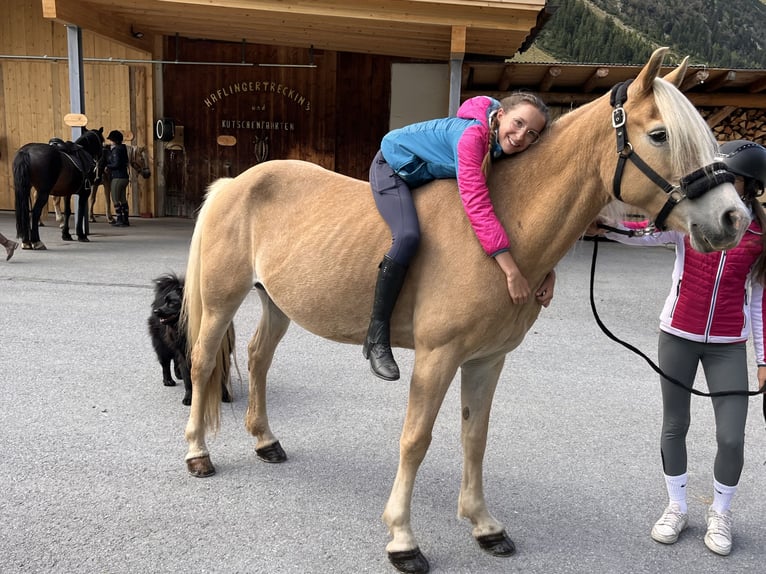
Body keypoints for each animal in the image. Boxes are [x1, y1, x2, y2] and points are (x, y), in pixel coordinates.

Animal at [149, 274, 234, 404]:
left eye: (172, 303)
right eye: (165, 302)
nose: (156, 311)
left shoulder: (221, 355)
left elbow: (222, 377)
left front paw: (224, 394)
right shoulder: (186, 356)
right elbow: (188, 380)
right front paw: (189, 397)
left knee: (175, 359)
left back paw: (178, 374)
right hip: (163, 345)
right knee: (165, 363)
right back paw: (168, 380)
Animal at [182, 50, 752, 574]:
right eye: (659, 135)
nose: (735, 218)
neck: (501, 230)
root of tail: (234, 183)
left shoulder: (485, 360)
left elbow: (474, 438)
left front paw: (483, 525)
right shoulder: (437, 357)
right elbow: (416, 440)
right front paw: (402, 539)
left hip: (275, 302)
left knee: (257, 357)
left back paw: (265, 440)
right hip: (222, 300)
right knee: (204, 362)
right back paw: (197, 453)